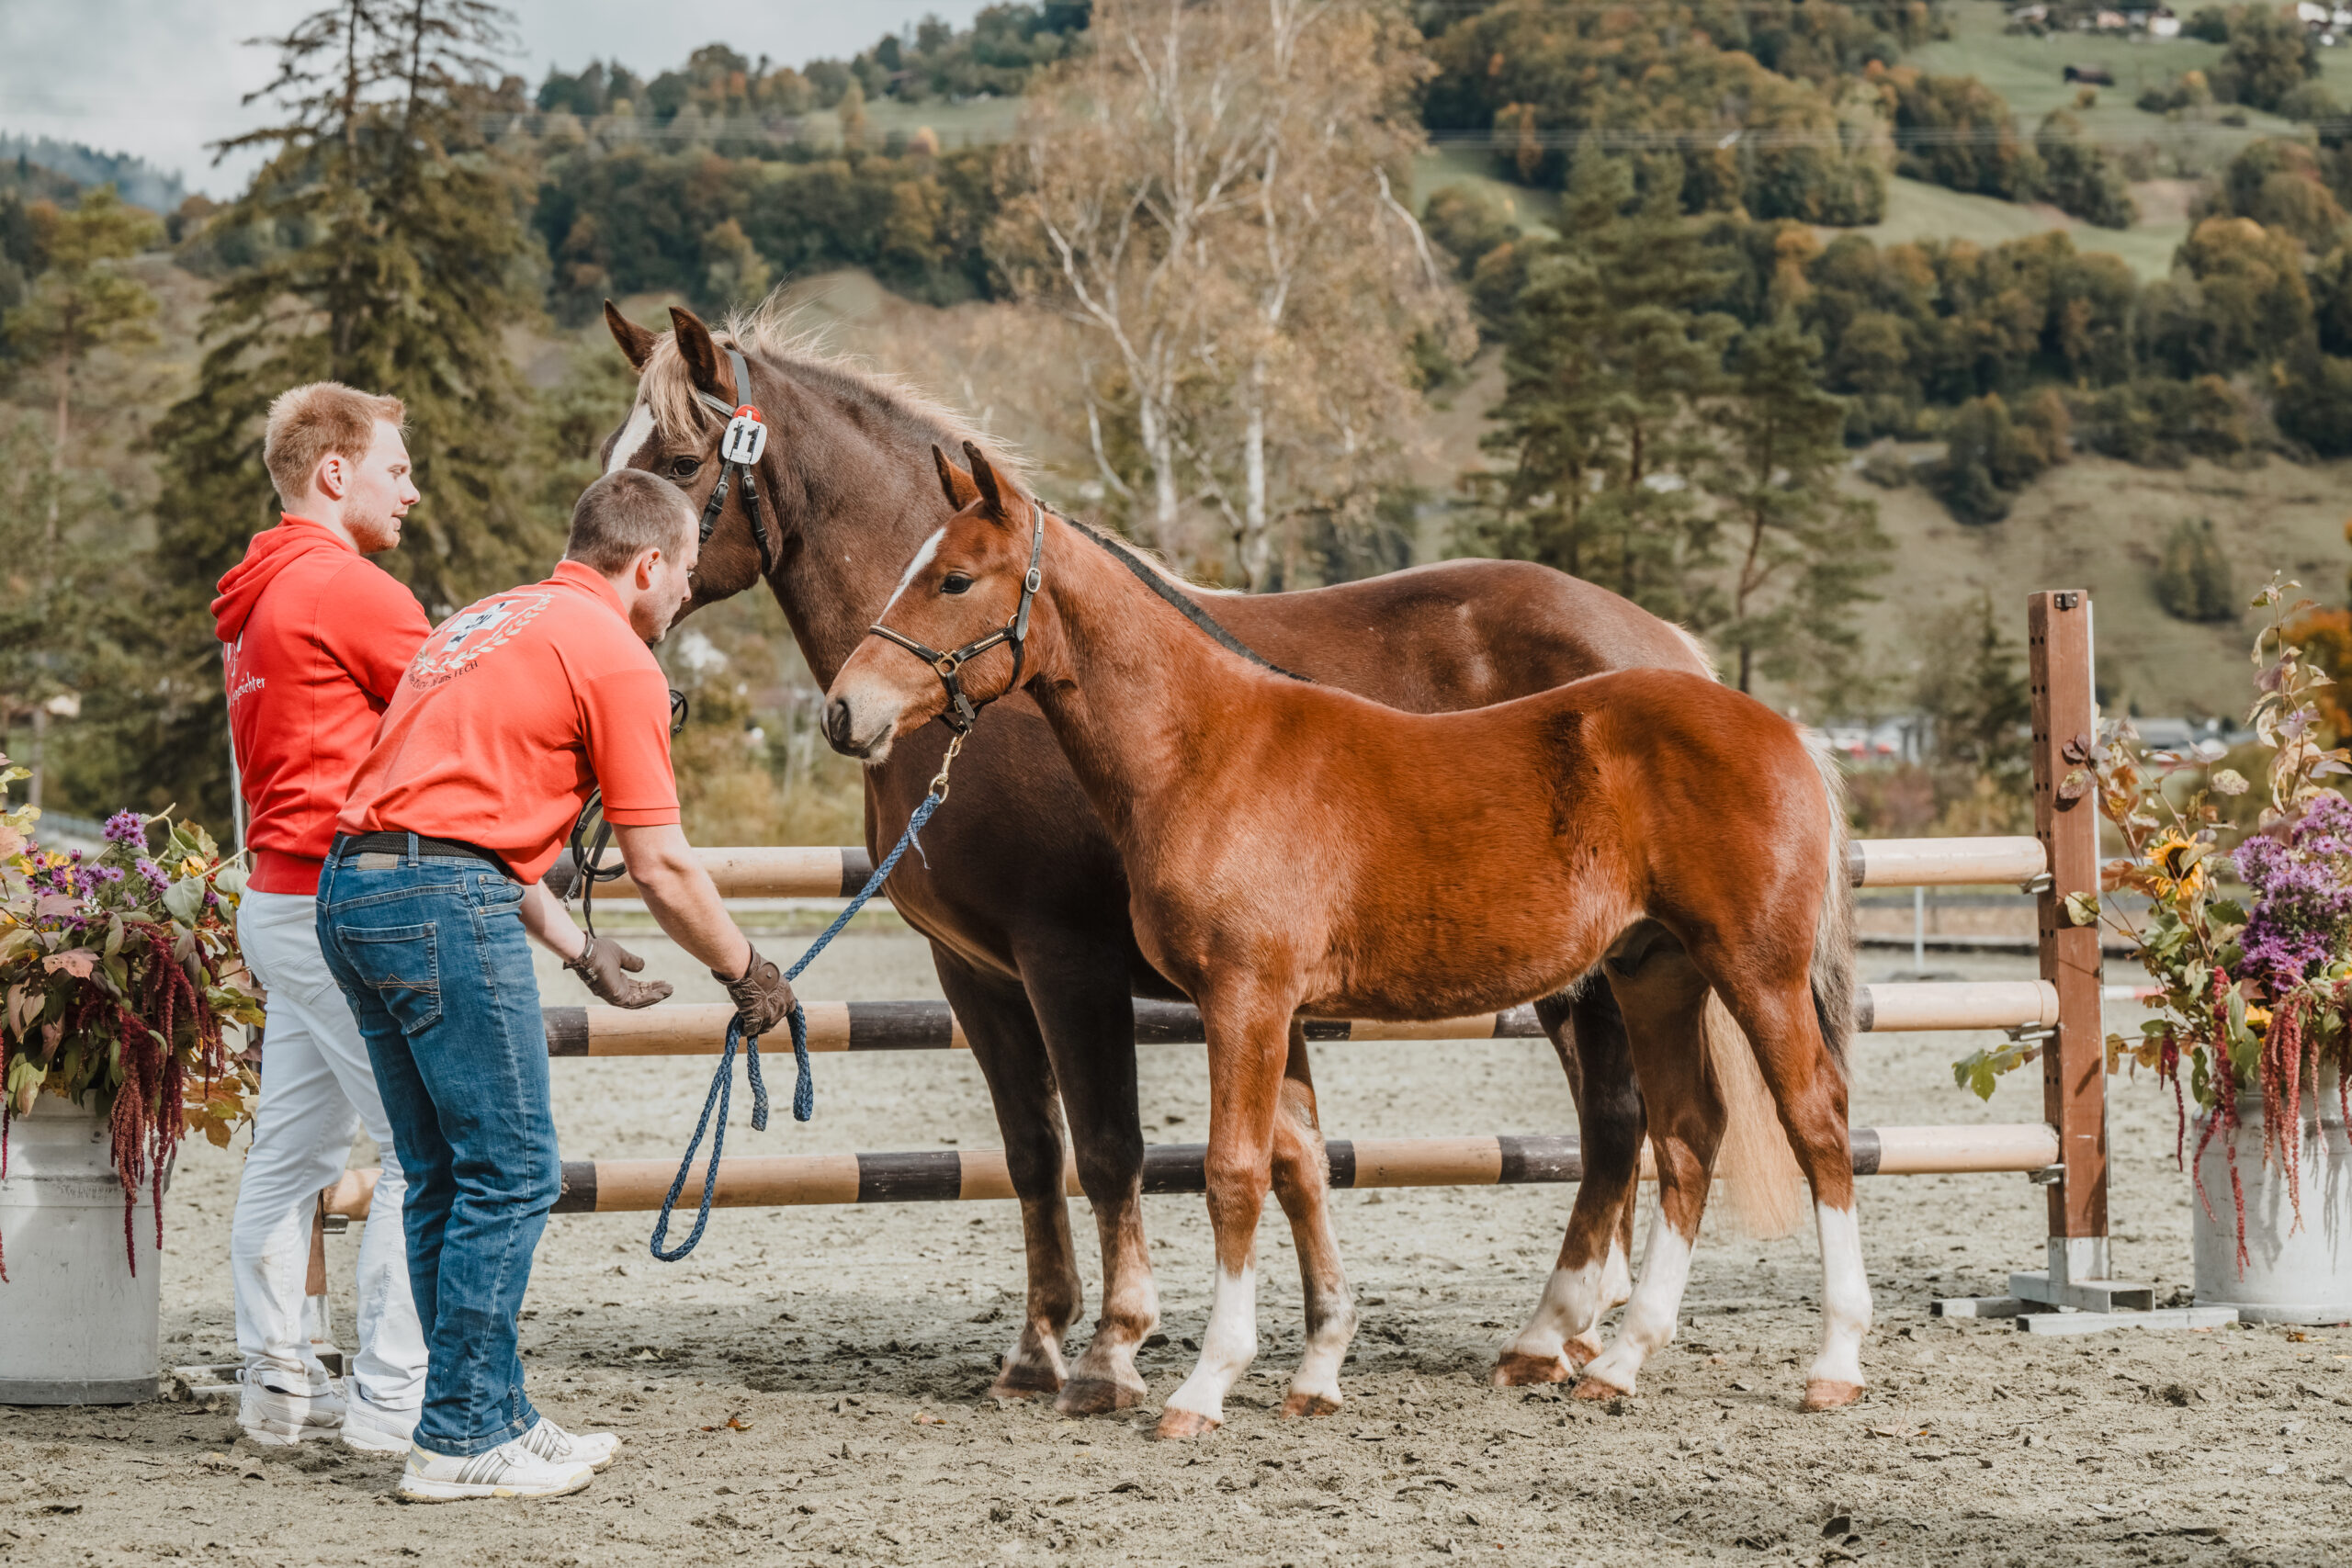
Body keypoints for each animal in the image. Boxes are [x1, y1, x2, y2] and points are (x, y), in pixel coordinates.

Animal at [828, 446, 1871, 1438]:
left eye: (955, 578)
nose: (845, 711)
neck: (1210, 749)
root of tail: (1786, 731)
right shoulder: (1276, 1009)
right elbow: (1299, 1163)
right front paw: (1314, 1377)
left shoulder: (1238, 996)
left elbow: (1233, 1174)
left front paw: (1202, 1385)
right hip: (1655, 973)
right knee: (1688, 1134)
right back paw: (1617, 1360)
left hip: (1756, 973)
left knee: (1815, 1122)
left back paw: (1832, 1363)